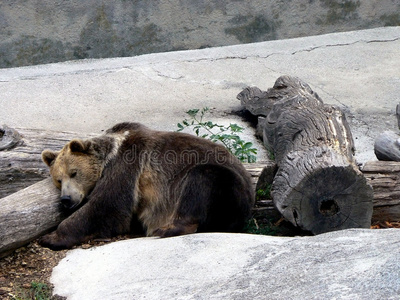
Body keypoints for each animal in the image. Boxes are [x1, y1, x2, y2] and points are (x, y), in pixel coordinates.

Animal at [39, 122, 255, 251]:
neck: (109, 155)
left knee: (201, 179)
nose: (66, 199)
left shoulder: (128, 165)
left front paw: (51, 237)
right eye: (58, 179)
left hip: (229, 187)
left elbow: (108, 205)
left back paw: (167, 228)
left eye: (74, 173)